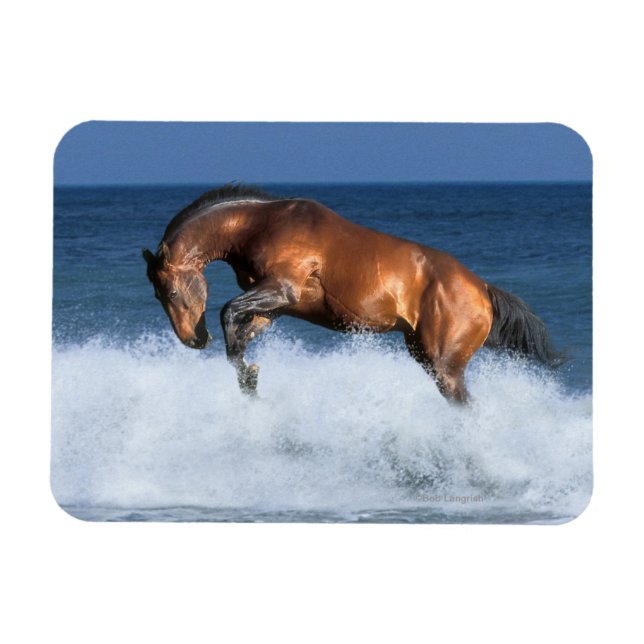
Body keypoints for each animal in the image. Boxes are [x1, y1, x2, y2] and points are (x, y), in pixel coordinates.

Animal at [143, 184, 561, 404]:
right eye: (157, 295)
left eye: (172, 291)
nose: (193, 340)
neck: (261, 224)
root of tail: (483, 289)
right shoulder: (273, 307)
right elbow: (239, 336)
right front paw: (250, 379)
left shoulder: (281, 290)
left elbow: (227, 311)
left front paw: (248, 376)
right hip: (424, 355)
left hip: (445, 367)